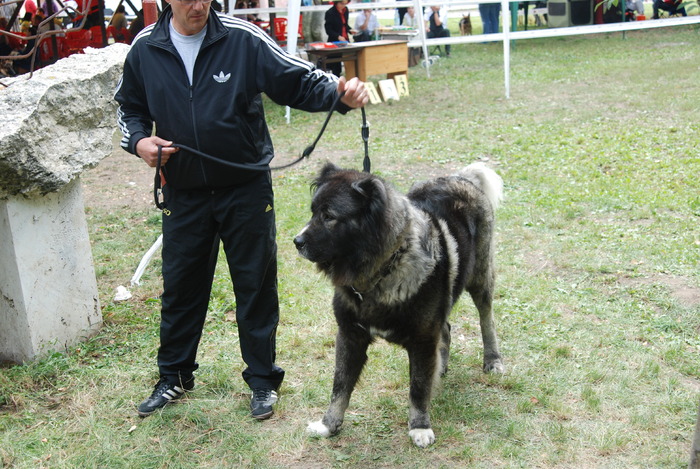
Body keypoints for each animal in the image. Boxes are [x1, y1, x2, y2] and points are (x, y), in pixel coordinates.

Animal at [292, 162, 506, 446]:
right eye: (313, 212)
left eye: (329, 216)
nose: (297, 241)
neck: (382, 271)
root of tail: (460, 177)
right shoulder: (350, 336)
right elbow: (340, 386)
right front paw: (329, 424)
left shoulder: (422, 340)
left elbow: (418, 386)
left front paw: (420, 426)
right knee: (447, 329)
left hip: (480, 278)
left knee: (486, 319)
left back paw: (492, 359)